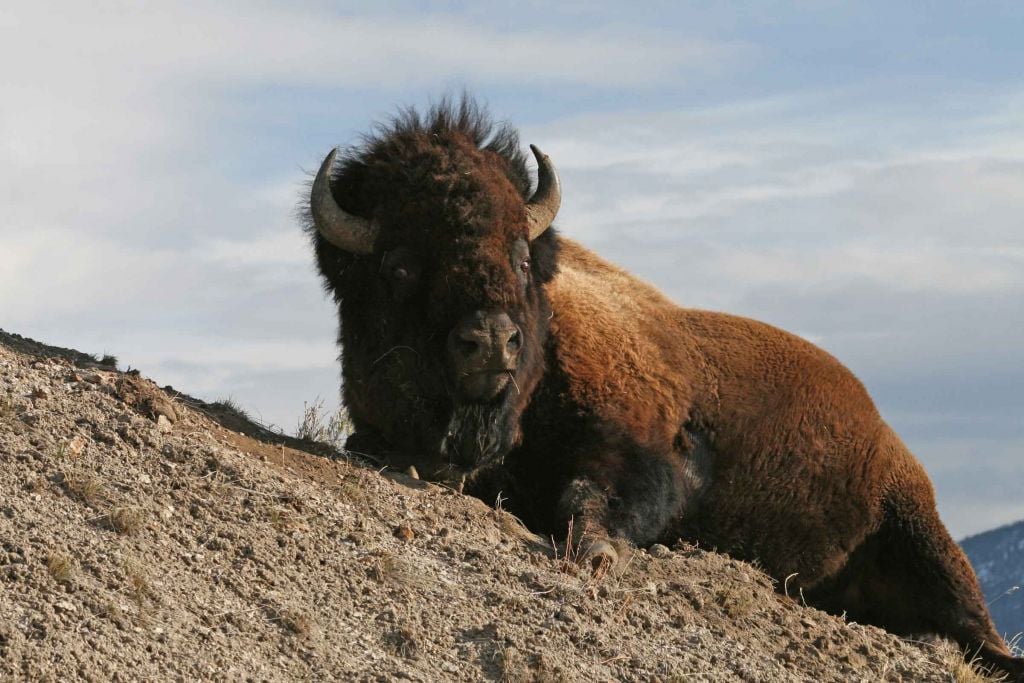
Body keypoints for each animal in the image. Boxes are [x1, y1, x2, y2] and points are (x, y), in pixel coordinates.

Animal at [303, 96, 1024, 679]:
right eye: (400, 265)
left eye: (518, 252)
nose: (493, 339)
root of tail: (879, 422)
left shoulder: (643, 450)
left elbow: (594, 494)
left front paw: (595, 552)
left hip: (920, 529)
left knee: (975, 628)